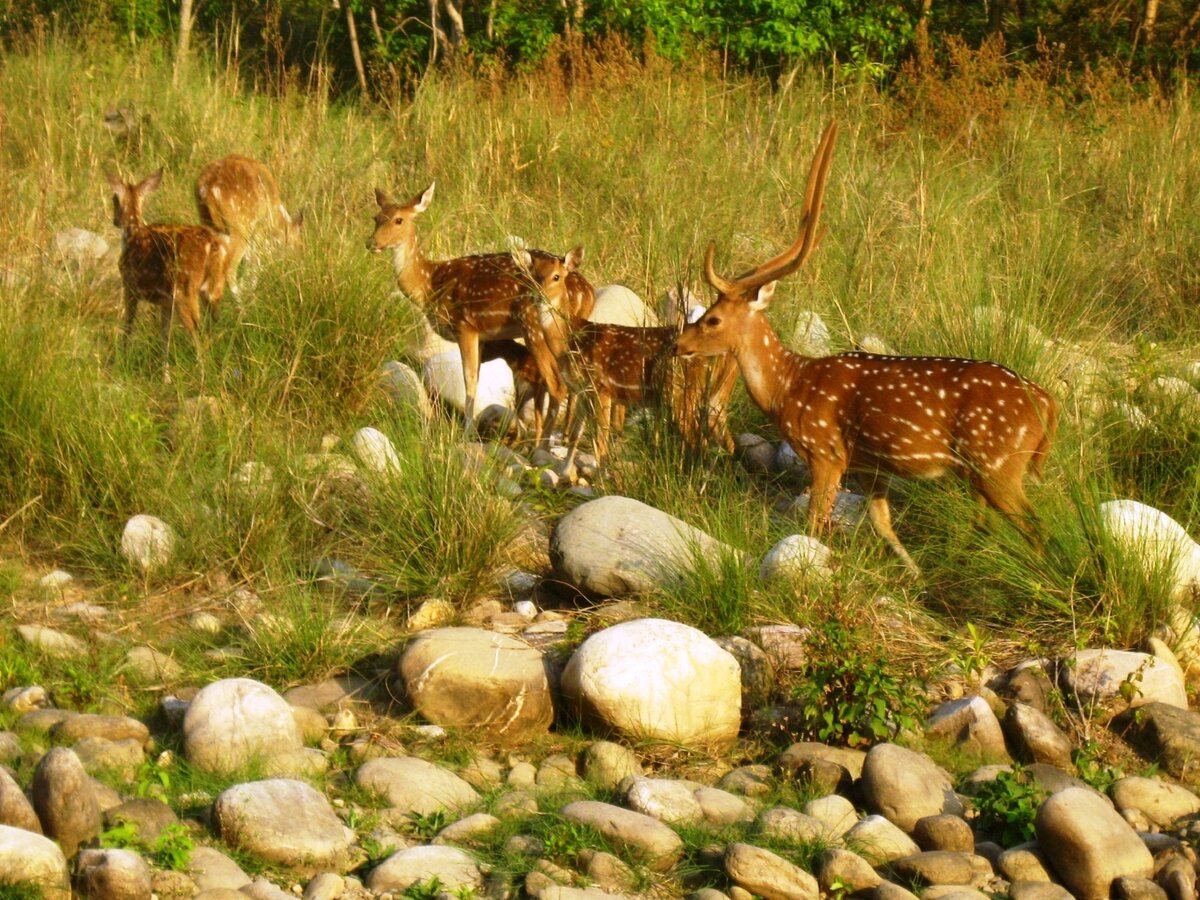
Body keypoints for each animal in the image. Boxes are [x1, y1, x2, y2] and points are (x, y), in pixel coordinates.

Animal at [108, 169, 231, 374]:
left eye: (114, 199)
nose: (115, 221)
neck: (133, 231)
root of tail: (212, 244)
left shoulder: (130, 286)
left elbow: (128, 325)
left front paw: (121, 360)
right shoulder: (166, 302)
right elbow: (165, 334)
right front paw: (164, 374)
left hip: (184, 289)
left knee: (196, 328)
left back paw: (202, 374)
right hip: (214, 286)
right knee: (213, 321)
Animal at [194, 154, 302, 294]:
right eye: (298, 246)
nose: (298, 268)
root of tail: (208, 188)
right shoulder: (260, 227)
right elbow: (256, 257)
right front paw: (252, 286)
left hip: (209, 222)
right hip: (240, 226)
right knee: (230, 268)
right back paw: (242, 295)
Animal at [362, 181, 592, 434]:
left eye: (399, 220)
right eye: (376, 217)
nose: (371, 243)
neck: (430, 283)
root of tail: (586, 293)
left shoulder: (465, 326)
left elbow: (469, 381)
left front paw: (466, 432)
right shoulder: (482, 336)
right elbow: (477, 379)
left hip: (536, 327)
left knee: (558, 384)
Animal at [676, 120, 1060, 573]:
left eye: (713, 319)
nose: (679, 344)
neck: (789, 387)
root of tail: (1049, 404)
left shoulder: (826, 451)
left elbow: (814, 521)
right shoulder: (868, 466)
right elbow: (883, 523)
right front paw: (914, 575)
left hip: (998, 463)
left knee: (1039, 530)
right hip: (983, 472)